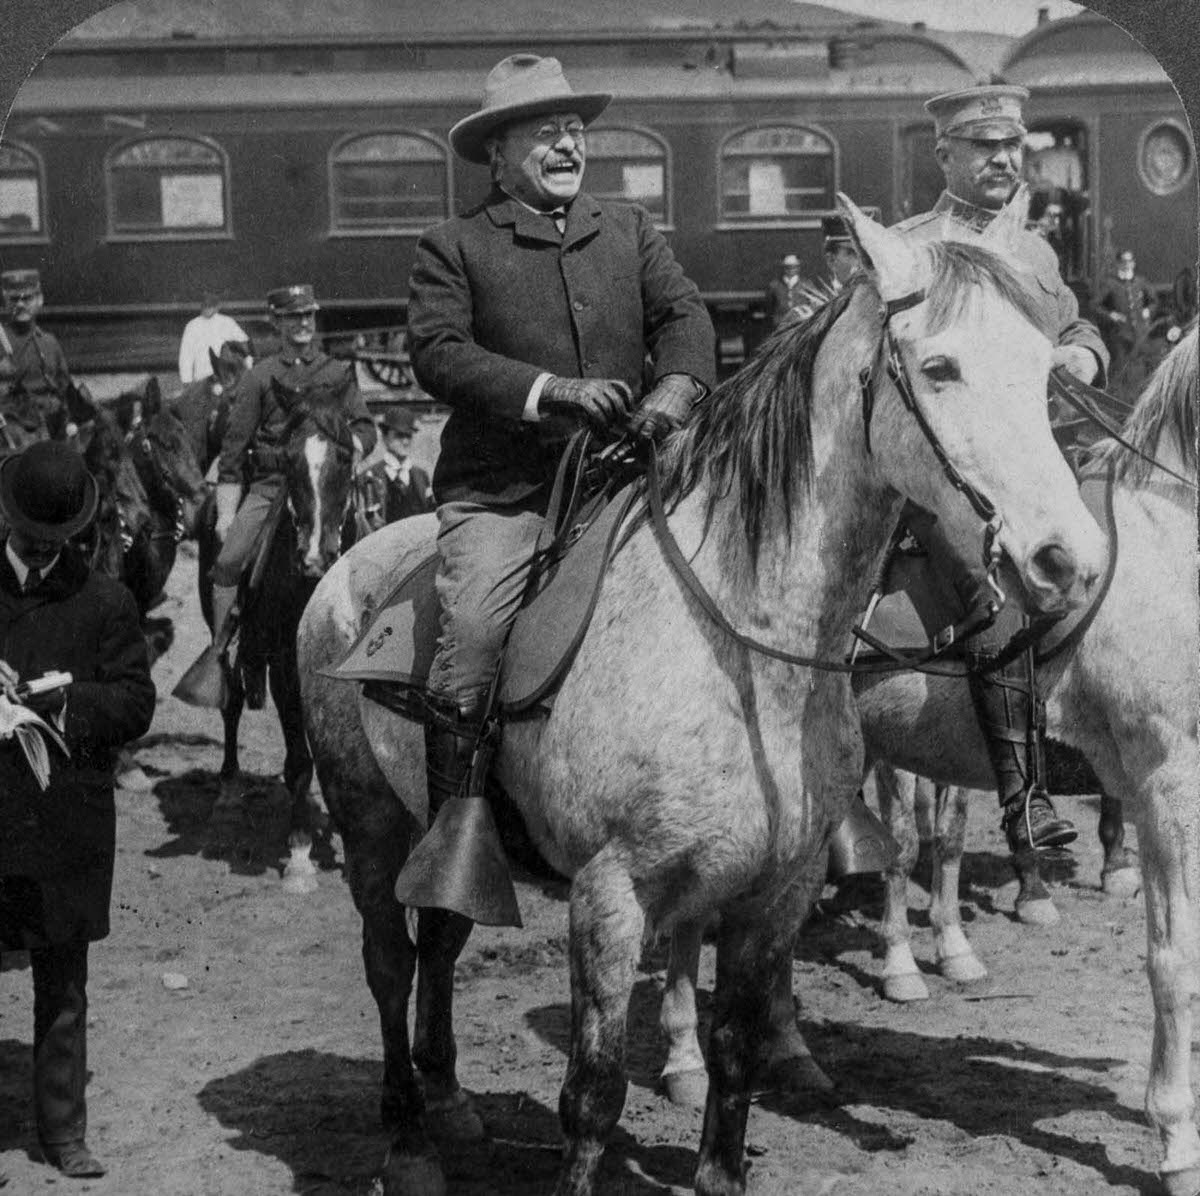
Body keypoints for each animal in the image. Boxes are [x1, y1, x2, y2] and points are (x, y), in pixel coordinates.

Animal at [295, 195, 1099, 1194]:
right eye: (940, 365)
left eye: (1045, 364)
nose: (1065, 559)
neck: (743, 646)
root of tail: (343, 568)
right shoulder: (610, 895)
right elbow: (592, 1092)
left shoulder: (774, 893)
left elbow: (738, 1052)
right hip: (369, 824)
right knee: (389, 964)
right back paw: (408, 1141)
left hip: (440, 840)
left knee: (439, 940)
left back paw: (449, 1105)